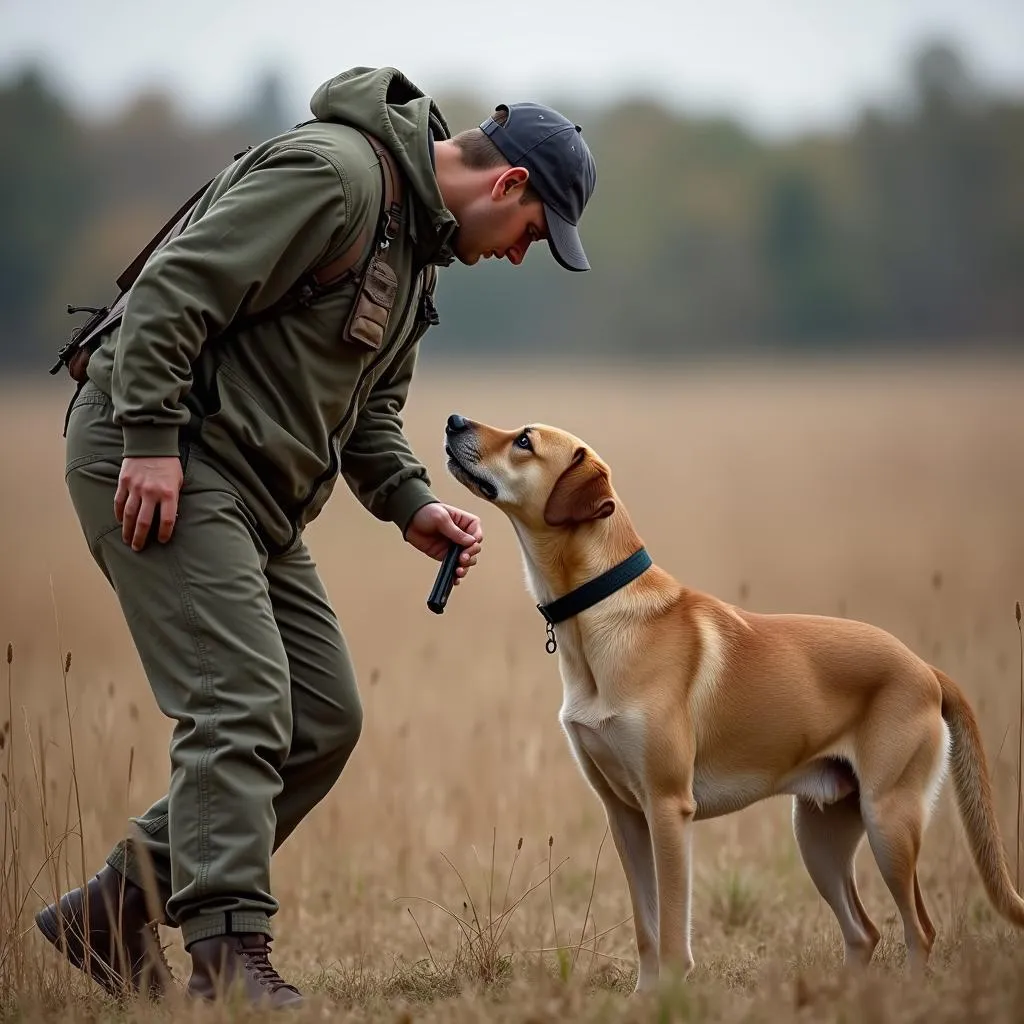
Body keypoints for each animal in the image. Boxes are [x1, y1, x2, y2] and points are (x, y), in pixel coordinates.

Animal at [444, 413, 1024, 991]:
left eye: (524, 440)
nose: (453, 421)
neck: (601, 617)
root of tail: (925, 669)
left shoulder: (667, 807)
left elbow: (671, 932)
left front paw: (669, 997)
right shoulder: (624, 814)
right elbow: (646, 929)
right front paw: (644, 998)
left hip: (889, 820)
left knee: (919, 930)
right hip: (820, 834)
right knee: (864, 931)